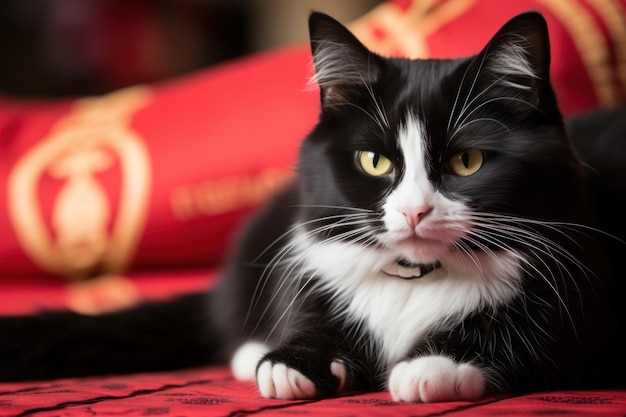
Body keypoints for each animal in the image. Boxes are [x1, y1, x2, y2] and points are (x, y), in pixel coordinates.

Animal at [1, 11, 624, 402]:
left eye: (467, 161)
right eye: (374, 161)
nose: (414, 212)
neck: (418, 277)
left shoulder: (576, 274)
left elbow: (538, 335)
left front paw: (434, 366)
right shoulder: (312, 262)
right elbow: (311, 315)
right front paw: (292, 362)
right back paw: (254, 350)